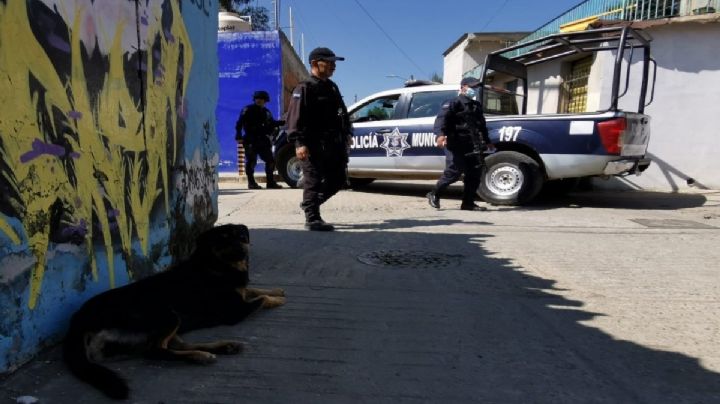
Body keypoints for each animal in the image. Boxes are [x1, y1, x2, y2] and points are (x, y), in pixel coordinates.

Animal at [63, 223, 284, 400]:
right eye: (223, 239)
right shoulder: (235, 312)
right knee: (156, 351)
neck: (214, 264)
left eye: (241, 236)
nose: (241, 248)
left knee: (174, 345)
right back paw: (202, 355)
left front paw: (276, 292)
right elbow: (259, 298)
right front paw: (275, 299)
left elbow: (253, 289)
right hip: (167, 315)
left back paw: (223, 347)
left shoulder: (240, 292)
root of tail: (79, 319)